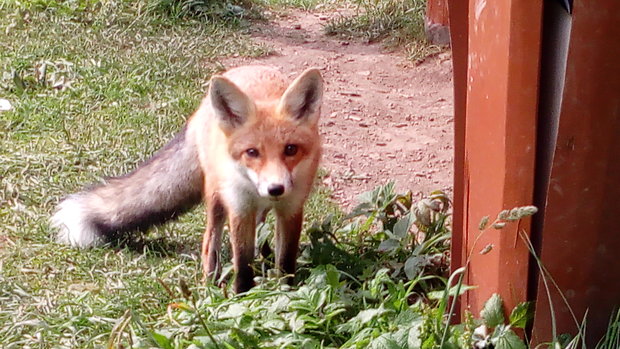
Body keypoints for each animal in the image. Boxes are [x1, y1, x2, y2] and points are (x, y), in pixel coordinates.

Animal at [52, 64, 324, 290]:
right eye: (252, 152)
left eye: (290, 149)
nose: (275, 188)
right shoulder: (239, 206)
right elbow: (242, 264)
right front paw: (242, 297)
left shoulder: (292, 207)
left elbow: (286, 263)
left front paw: (285, 293)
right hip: (216, 196)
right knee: (210, 243)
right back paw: (209, 285)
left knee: (261, 235)